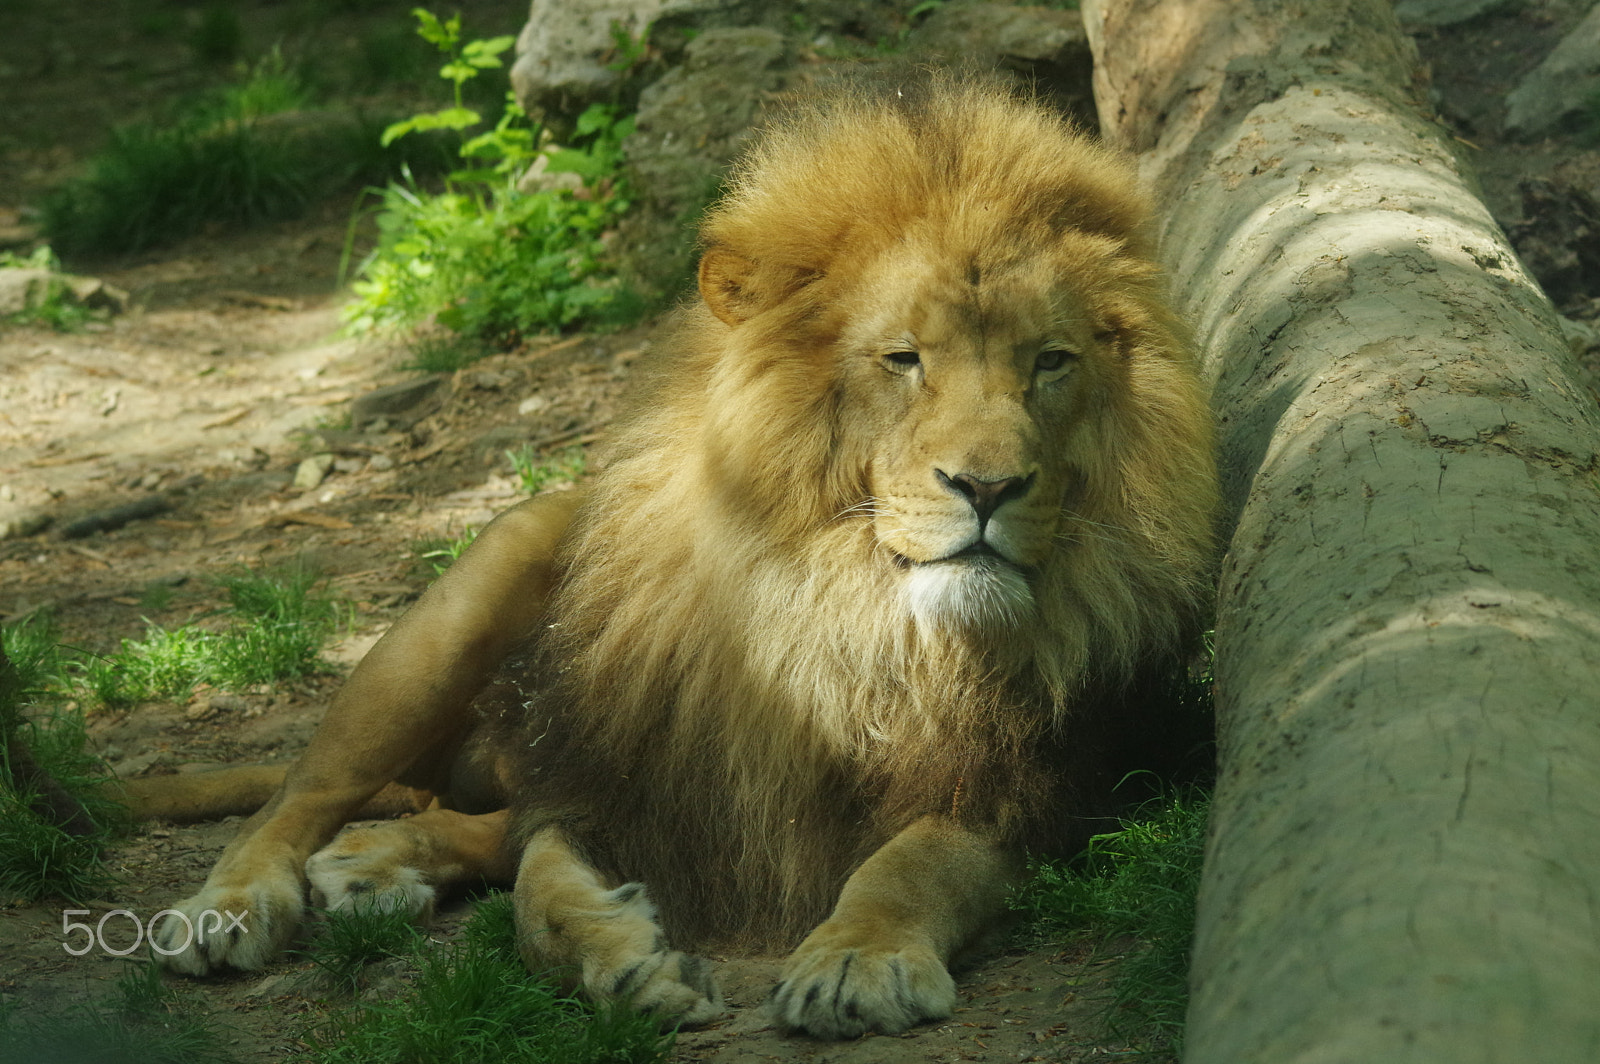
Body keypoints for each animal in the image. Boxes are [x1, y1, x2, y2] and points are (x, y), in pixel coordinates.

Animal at [140, 80, 1209, 1036]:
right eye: (904, 359)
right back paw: (234, 905)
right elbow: (540, 893)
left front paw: (856, 959)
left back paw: (378, 860)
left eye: (1050, 362)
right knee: (304, 795)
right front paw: (627, 964)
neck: (849, 615)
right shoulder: (618, 772)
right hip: (457, 610)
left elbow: (914, 864)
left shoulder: (1044, 784)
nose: (988, 489)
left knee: (477, 821)